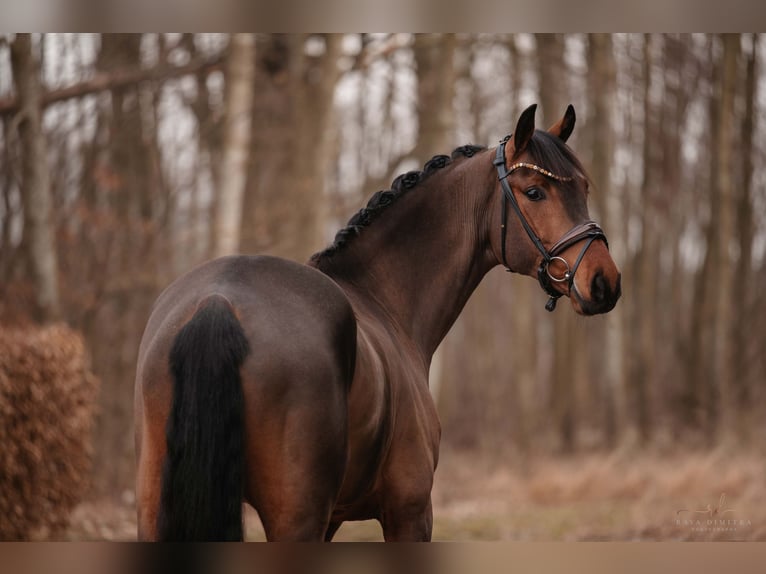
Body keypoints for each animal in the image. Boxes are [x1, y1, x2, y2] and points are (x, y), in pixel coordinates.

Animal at [134, 106, 624, 544]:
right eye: (535, 191)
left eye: (583, 187)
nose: (604, 281)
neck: (383, 300)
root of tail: (218, 301)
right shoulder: (409, 510)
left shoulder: (336, 518)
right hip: (296, 516)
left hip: (156, 507)